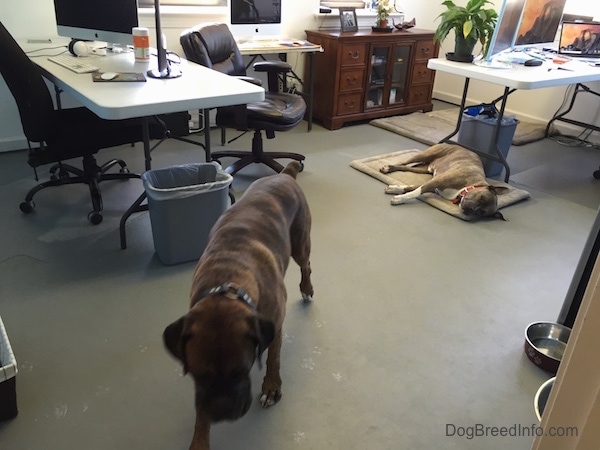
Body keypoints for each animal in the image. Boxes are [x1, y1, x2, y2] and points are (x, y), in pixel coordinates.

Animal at [164, 160, 314, 448]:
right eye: (198, 376)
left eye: (242, 370)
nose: (222, 412)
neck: (226, 282)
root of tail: (284, 174)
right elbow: (200, 412)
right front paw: (200, 439)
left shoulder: (275, 324)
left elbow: (273, 358)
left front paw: (271, 386)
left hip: (300, 245)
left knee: (306, 266)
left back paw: (307, 289)